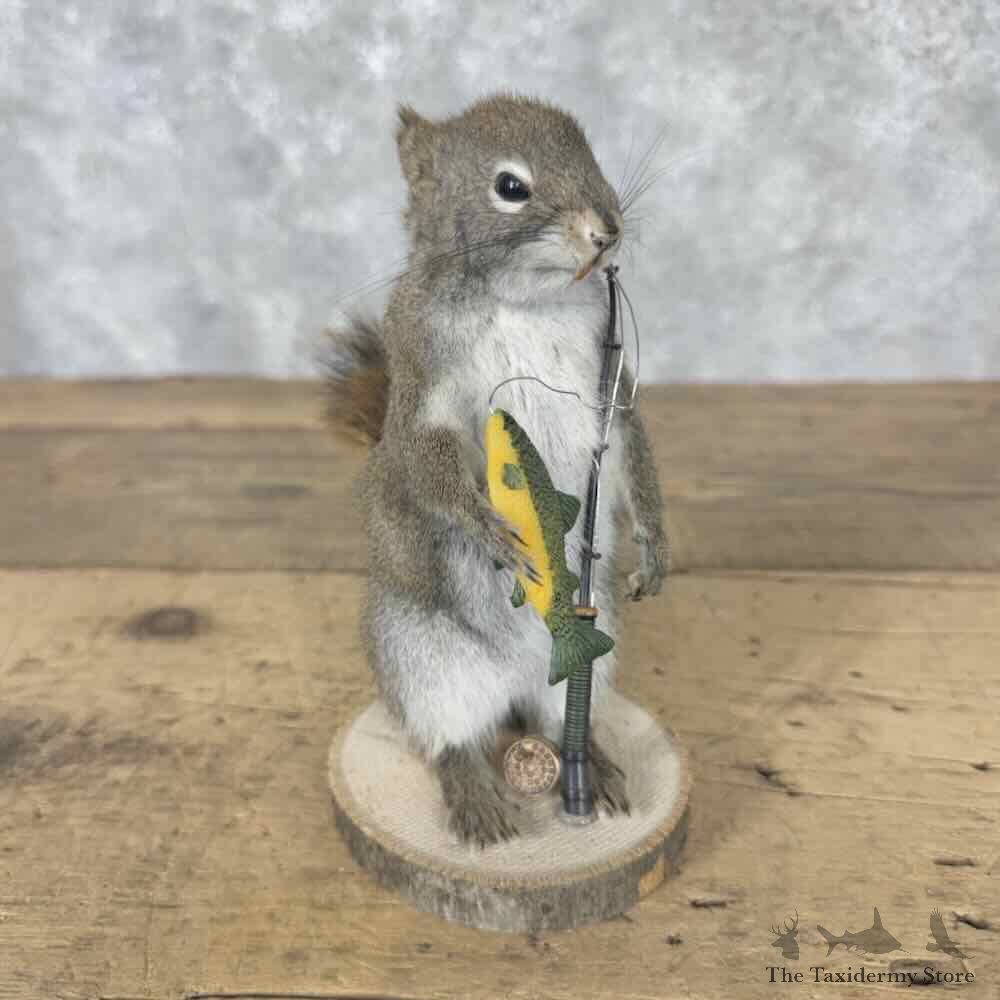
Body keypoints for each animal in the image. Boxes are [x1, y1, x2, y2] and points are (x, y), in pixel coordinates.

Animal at [323, 94, 670, 847]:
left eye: (591, 152)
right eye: (510, 187)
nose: (608, 230)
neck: (524, 300)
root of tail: (515, 683)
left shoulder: (610, 378)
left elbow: (631, 446)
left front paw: (656, 544)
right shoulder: (420, 368)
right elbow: (427, 456)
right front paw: (491, 533)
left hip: (592, 656)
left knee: (559, 714)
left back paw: (592, 764)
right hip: (424, 661)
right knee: (450, 739)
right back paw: (476, 795)